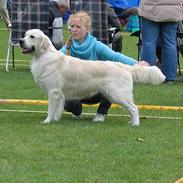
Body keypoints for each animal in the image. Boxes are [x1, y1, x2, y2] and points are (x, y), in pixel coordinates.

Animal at [19, 29, 166, 126]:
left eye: (32, 36)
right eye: (25, 35)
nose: (20, 41)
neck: (43, 56)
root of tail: (124, 67)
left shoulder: (53, 91)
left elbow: (50, 109)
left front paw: (47, 121)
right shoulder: (59, 94)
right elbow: (57, 109)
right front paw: (55, 119)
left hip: (117, 94)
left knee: (134, 108)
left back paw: (135, 124)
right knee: (131, 108)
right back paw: (131, 121)